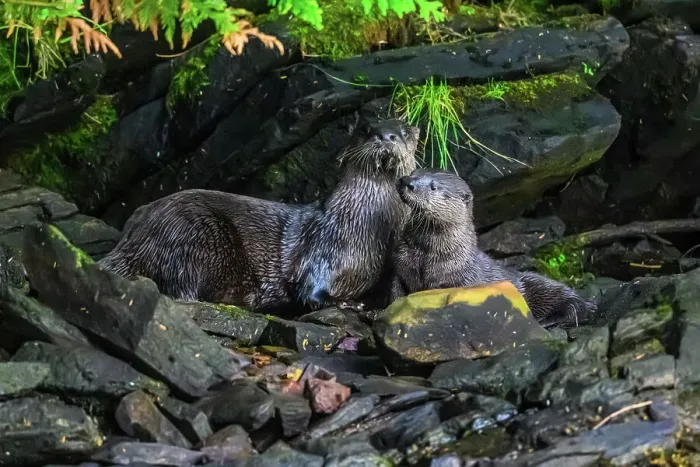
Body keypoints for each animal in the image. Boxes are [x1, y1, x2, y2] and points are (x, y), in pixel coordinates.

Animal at [98, 118, 419, 312]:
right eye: (366, 129)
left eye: (403, 132)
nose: (385, 136)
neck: (364, 224)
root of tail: (134, 237)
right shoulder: (323, 246)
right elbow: (309, 291)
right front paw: (346, 304)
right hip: (194, 232)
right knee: (182, 288)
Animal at [390, 168, 596, 328]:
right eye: (414, 172)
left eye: (434, 187)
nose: (407, 182)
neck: (428, 256)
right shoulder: (400, 269)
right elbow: (395, 295)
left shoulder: (456, 280)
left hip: (542, 285)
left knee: (575, 306)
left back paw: (544, 320)